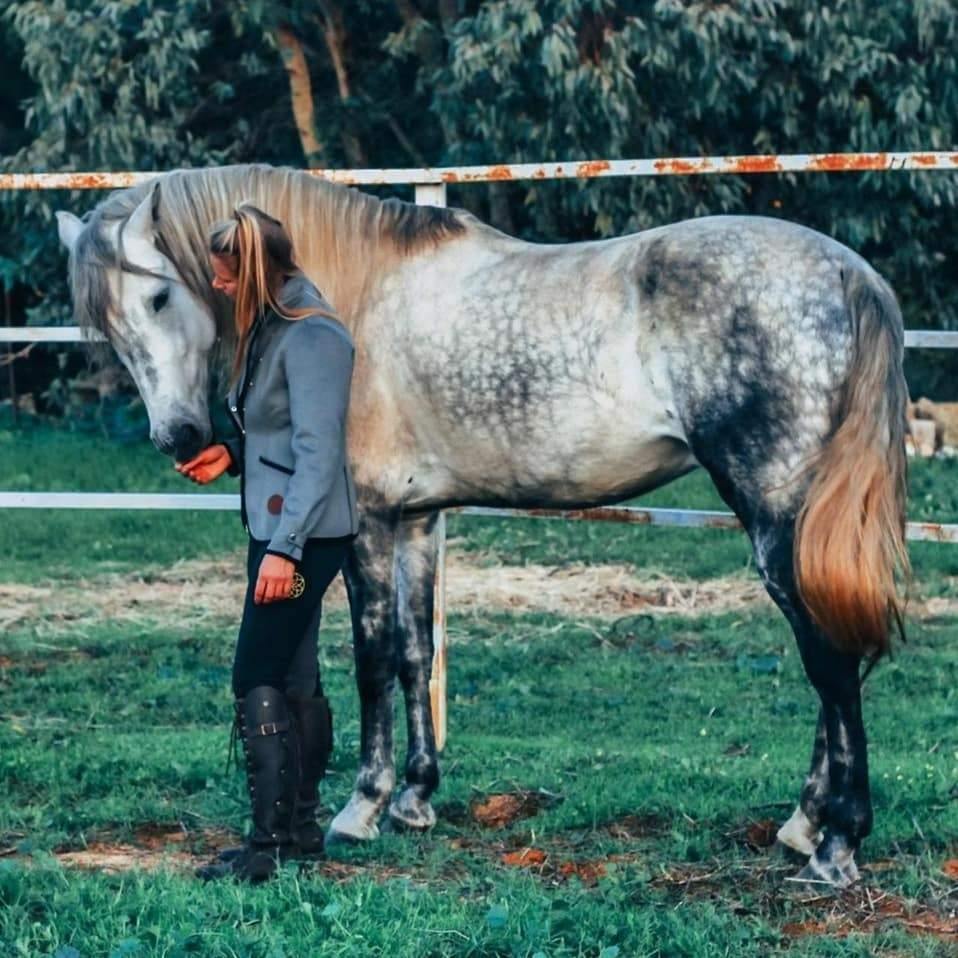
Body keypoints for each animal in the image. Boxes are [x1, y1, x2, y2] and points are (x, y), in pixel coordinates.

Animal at [56, 163, 908, 887]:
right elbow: (415, 653)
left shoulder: (368, 521)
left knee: (829, 660)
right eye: (107, 328)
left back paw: (833, 845)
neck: (350, 296)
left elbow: (371, 658)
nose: (181, 440)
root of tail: (850, 272)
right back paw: (803, 824)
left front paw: (363, 806)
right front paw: (415, 798)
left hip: (778, 516)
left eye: (159, 298)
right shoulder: (417, 519)